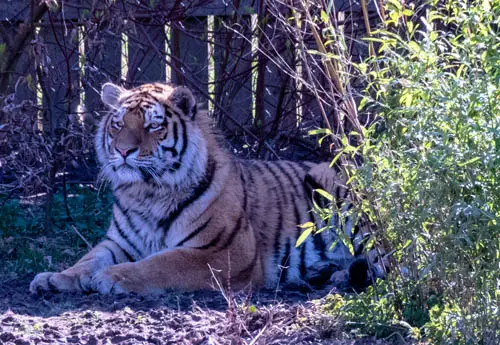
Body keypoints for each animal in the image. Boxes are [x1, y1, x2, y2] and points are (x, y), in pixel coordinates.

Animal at [28, 82, 386, 294]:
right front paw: (54, 278)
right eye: (118, 124)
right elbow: (87, 259)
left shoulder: (224, 251)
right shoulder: (118, 243)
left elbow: (161, 263)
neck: (146, 192)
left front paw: (113, 278)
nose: (123, 151)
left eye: (153, 126)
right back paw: (329, 274)